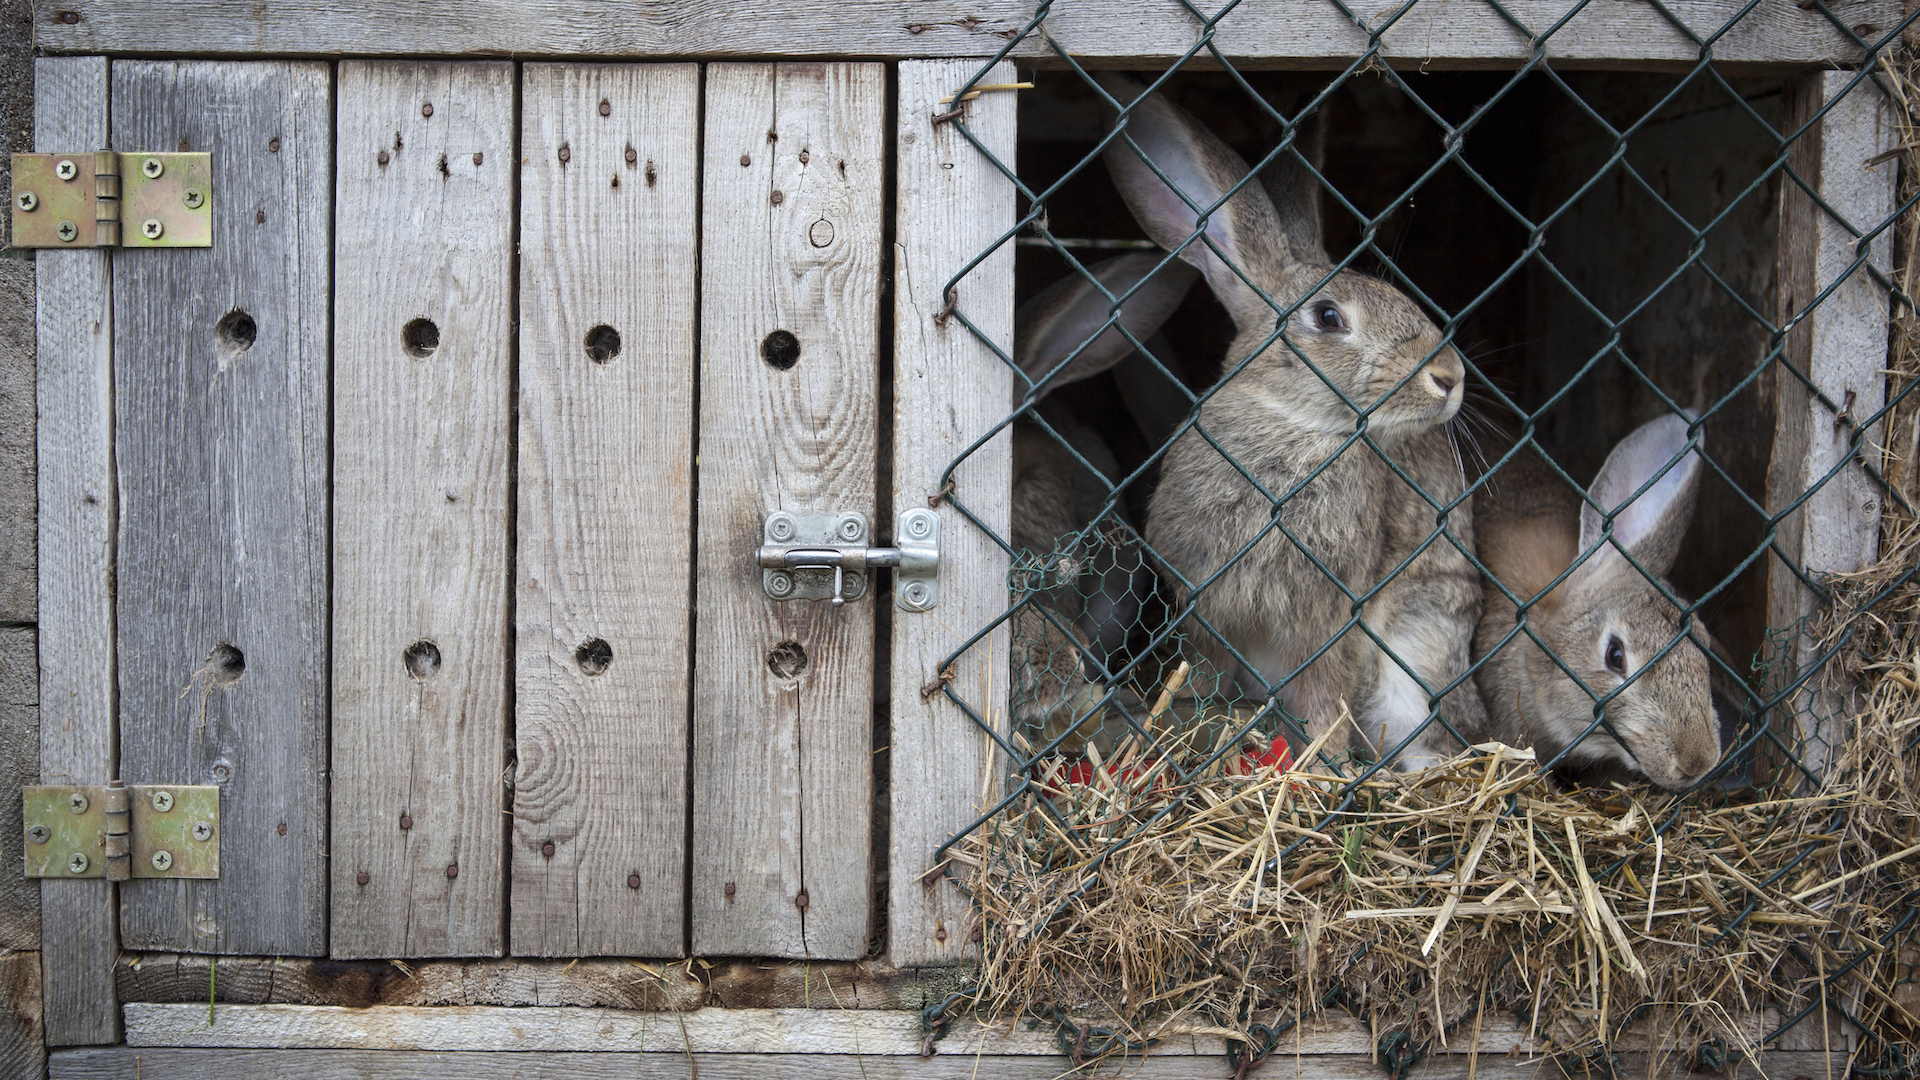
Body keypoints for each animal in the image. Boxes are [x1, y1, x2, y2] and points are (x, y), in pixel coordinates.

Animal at [1098, 71, 1482, 757]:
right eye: (1328, 317)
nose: (1450, 378)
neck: (1296, 429)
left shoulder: (1335, 618)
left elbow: (1327, 691)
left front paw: (1320, 758)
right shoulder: (1206, 610)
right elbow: (1206, 672)